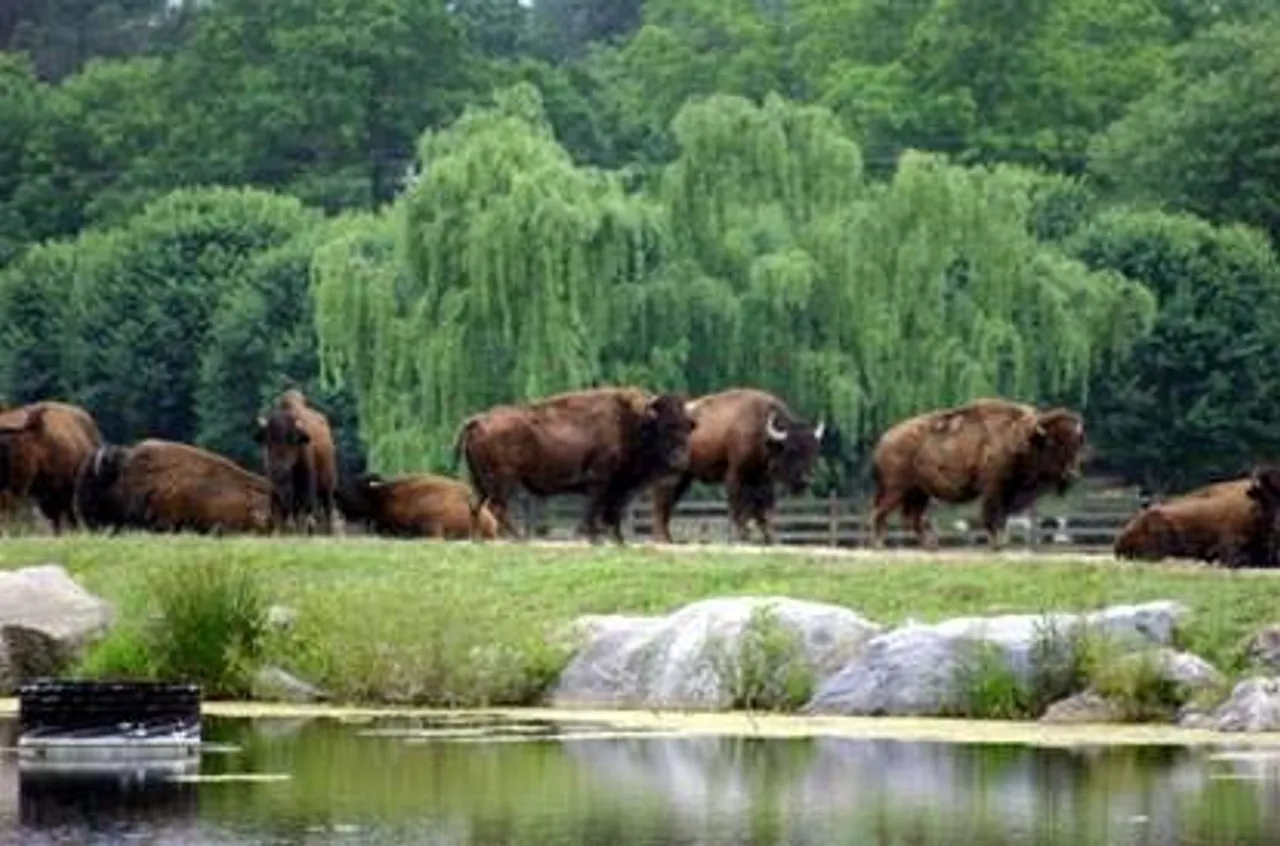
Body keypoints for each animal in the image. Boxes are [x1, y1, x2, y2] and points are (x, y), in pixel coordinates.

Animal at [254, 389, 337, 534]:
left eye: (292, 439)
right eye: (268, 439)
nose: (279, 469)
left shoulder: (306, 483)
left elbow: (304, 509)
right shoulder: (275, 488)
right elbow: (280, 510)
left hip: (328, 483)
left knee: (327, 507)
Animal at [454, 386, 697, 544]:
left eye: (688, 426)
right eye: (665, 426)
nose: (680, 460)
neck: (634, 423)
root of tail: (478, 421)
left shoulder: (618, 486)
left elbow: (612, 512)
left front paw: (618, 540)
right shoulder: (601, 481)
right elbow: (596, 509)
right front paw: (594, 538)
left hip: (481, 480)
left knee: (476, 504)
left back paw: (477, 540)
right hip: (504, 480)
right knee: (497, 507)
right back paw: (519, 539)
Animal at [651, 388, 824, 545]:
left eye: (814, 451)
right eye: (791, 450)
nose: (806, 480)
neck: (760, 428)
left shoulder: (763, 480)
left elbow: (764, 510)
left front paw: (772, 540)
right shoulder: (736, 475)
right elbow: (739, 507)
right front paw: (741, 537)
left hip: (685, 478)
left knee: (667, 504)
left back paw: (669, 538)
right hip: (672, 477)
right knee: (662, 503)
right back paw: (662, 539)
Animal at [870, 397, 1086, 550]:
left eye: (1077, 444)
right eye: (1053, 443)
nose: (1072, 474)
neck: (1022, 436)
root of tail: (883, 441)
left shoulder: (1009, 491)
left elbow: (1002, 516)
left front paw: (1002, 541)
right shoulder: (994, 487)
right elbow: (991, 513)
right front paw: (996, 543)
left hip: (919, 493)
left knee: (910, 518)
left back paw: (930, 545)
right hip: (896, 490)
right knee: (881, 512)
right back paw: (880, 544)